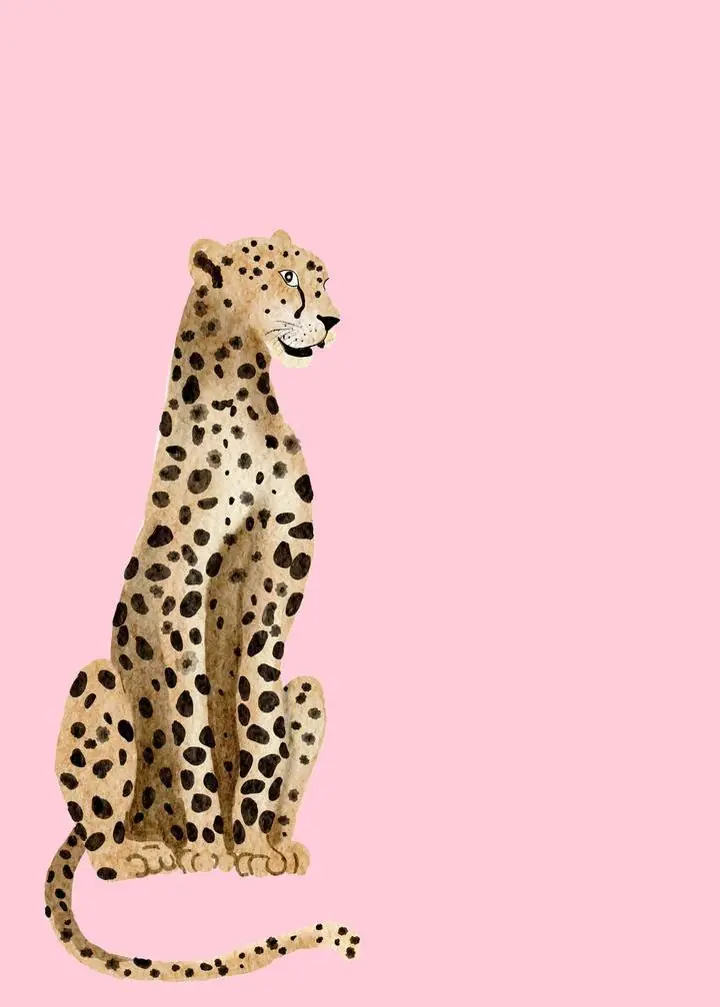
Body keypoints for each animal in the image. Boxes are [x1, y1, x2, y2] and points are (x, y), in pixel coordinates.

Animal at [44, 229, 360, 980]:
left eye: (321, 276)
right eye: (287, 278)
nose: (333, 319)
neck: (241, 385)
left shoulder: (275, 593)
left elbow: (258, 722)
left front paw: (253, 848)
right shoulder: (177, 594)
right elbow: (190, 727)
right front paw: (211, 848)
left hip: (310, 688)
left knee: (298, 697)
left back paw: (282, 842)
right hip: (99, 684)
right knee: (100, 844)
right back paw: (145, 849)